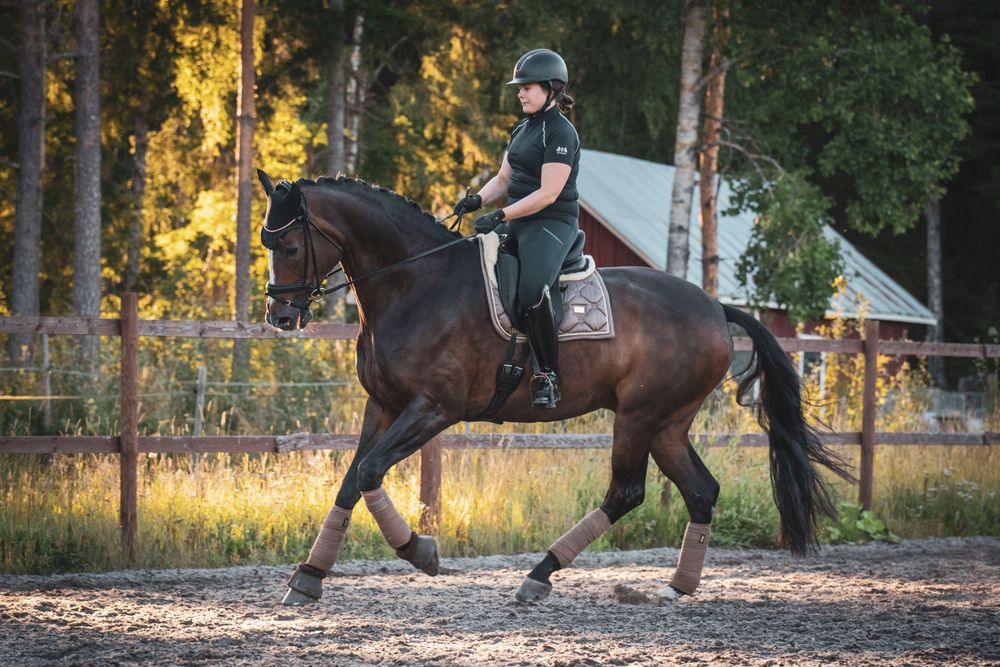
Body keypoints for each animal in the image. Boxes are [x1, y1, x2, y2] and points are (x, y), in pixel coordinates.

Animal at [255, 170, 852, 605]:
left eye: (288, 245)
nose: (280, 317)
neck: (415, 283)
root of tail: (713, 306)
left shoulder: (434, 409)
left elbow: (371, 472)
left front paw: (421, 552)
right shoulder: (382, 405)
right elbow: (352, 479)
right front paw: (309, 576)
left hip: (638, 417)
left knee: (626, 493)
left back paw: (539, 575)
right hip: (668, 423)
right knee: (700, 491)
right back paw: (675, 588)